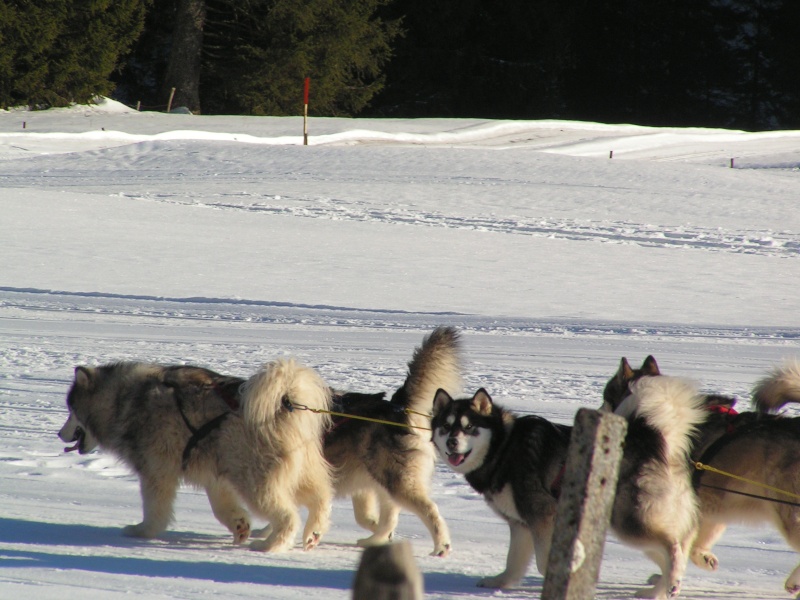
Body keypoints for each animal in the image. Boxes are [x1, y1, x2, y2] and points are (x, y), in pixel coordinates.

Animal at [57, 358, 332, 552]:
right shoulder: (215, 476)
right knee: (321, 497)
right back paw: (313, 533)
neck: (123, 401)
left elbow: (154, 508)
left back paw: (270, 545)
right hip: (295, 472)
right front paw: (239, 526)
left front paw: (143, 531)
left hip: (255, 481)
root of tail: (286, 403)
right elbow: (222, 508)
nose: (59, 434)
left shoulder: (156, 471)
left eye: (70, 410)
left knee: (288, 516)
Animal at [324, 326, 462, 556]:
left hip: (396, 480)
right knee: (390, 515)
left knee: (429, 510)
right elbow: (365, 516)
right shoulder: (360, 485)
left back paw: (441, 546)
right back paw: (375, 540)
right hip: (383, 478)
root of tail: (399, 409)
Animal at [434, 382, 704, 596]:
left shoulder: (543, 515)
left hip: (628, 521)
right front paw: (500, 581)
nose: (451, 442)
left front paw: (572, 565)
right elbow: (514, 561)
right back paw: (658, 591)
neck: (502, 447)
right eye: (445, 427)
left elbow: (543, 561)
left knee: (672, 547)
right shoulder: (521, 524)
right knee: (674, 550)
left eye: (469, 427)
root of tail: (653, 441)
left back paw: (669, 582)